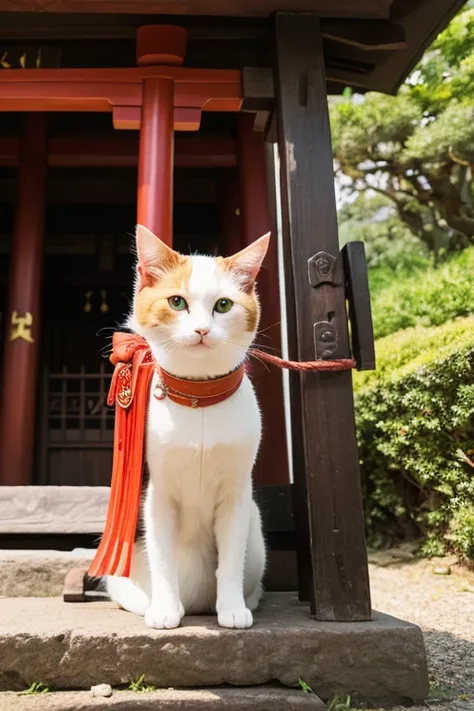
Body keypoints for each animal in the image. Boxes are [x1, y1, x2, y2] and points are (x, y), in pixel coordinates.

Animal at [107, 225, 270, 632]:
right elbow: (163, 559)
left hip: (257, 532)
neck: (199, 401)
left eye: (223, 305)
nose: (201, 330)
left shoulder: (237, 494)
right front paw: (165, 609)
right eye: (177, 302)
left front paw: (232, 609)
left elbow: (231, 557)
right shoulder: (158, 494)